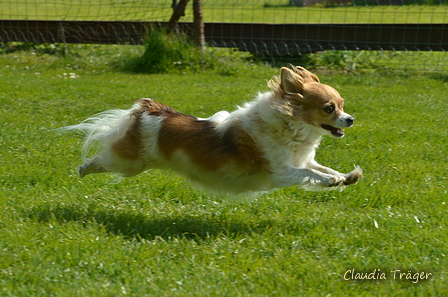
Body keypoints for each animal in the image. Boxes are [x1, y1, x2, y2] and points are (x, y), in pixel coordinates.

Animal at [65, 65, 360, 193]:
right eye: (329, 108)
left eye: (343, 105)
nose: (351, 119)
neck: (291, 128)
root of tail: (150, 109)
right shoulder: (280, 171)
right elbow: (311, 175)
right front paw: (333, 181)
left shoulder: (303, 160)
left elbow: (321, 168)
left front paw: (346, 177)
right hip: (129, 163)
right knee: (100, 161)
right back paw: (83, 169)